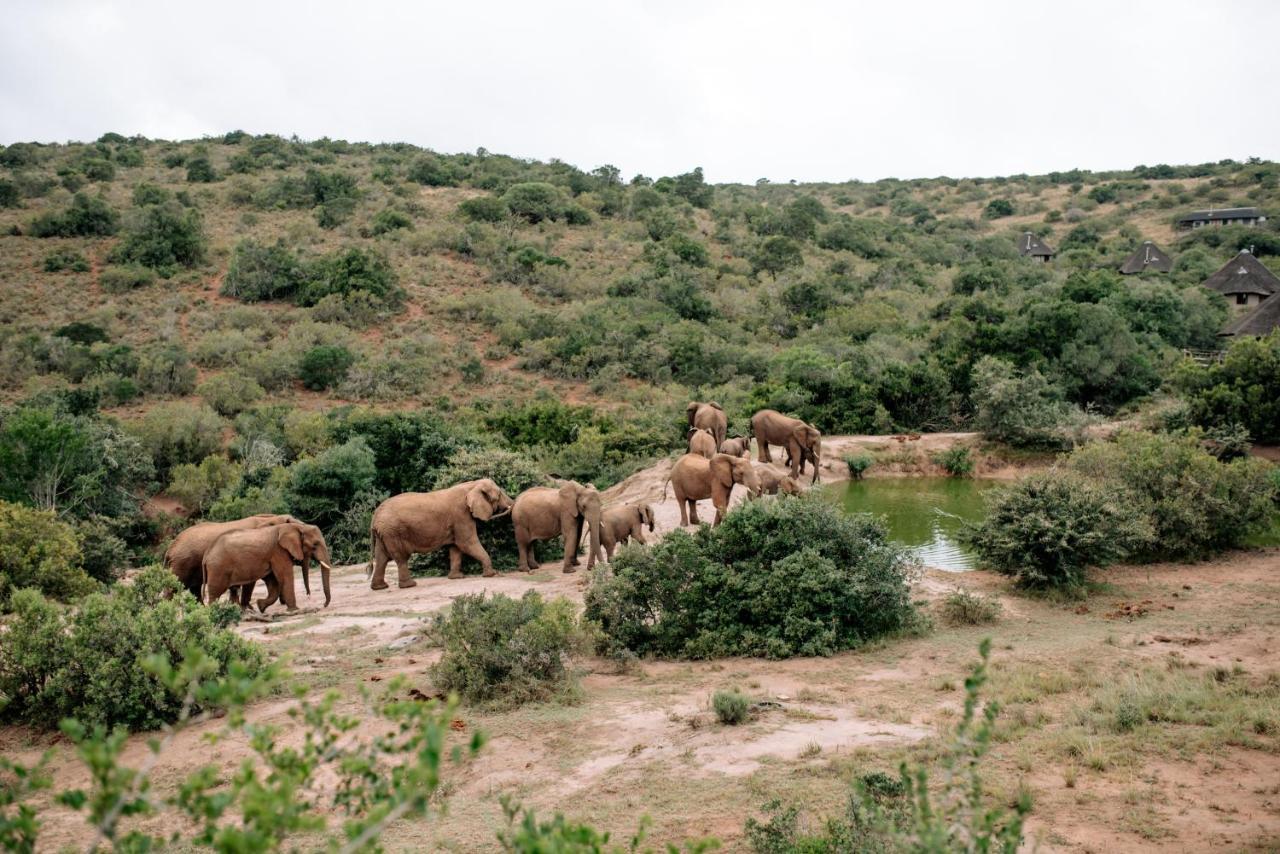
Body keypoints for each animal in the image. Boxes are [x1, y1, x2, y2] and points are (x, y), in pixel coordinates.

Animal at [165, 514, 299, 601]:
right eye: (289, 521)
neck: (267, 519)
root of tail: (170, 549)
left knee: (195, 590)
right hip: (182, 564)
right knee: (174, 588)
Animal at [200, 517, 330, 612]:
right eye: (315, 544)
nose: (323, 605)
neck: (296, 527)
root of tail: (206, 554)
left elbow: (273, 582)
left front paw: (260, 606)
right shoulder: (278, 551)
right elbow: (285, 576)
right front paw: (294, 610)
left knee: (233, 590)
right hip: (218, 568)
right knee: (215, 593)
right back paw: (214, 613)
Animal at [368, 478, 512, 591]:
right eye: (499, 495)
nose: (510, 507)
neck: (472, 485)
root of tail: (375, 515)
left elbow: (456, 548)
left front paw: (457, 578)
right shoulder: (461, 515)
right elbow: (467, 543)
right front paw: (491, 574)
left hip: (384, 533)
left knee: (381, 558)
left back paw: (380, 587)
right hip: (394, 532)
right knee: (401, 557)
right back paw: (410, 585)